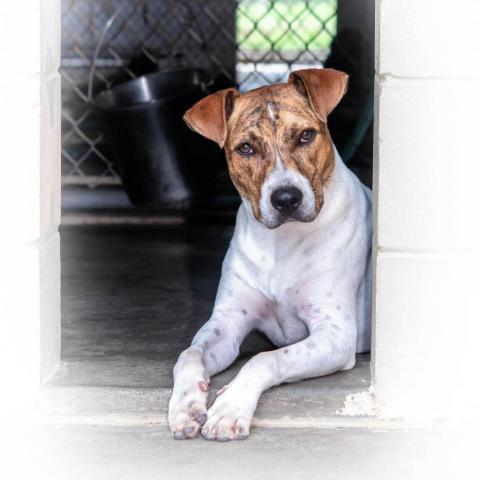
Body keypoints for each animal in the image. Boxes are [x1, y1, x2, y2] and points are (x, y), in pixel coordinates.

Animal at [167, 68, 374, 442]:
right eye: (246, 148)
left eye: (306, 136)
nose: (287, 198)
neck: (282, 242)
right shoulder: (226, 323)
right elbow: (188, 354)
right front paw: (186, 403)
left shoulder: (335, 335)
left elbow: (266, 358)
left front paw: (230, 407)